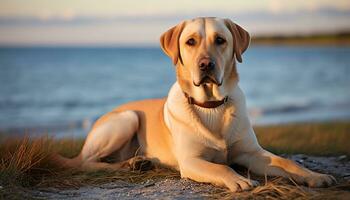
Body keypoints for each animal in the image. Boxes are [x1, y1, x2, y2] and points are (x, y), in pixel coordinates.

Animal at [56, 17, 336, 192]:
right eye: (190, 41)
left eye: (220, 40)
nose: (205, 64)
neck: (212, 106)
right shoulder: (191, 161)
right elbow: (221, 168)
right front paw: (239, 180)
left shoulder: (252, 153)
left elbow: (288, 163)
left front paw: (315, 176)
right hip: (127, 118)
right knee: (84, 162)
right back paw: (129, 165)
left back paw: (138, 162)